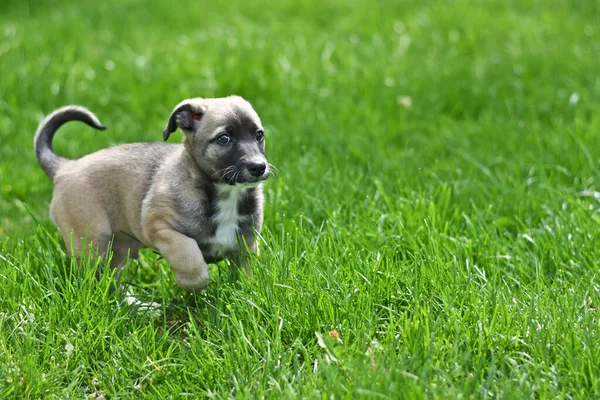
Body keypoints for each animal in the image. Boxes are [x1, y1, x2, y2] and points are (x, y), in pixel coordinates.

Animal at [32, 97, 268, 290]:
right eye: (224, 138)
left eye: (259, 135)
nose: (259, 167)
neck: (224, 193)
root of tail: (64, 167)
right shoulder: (161, 227)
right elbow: (190, 258)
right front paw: (193, 284)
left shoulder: (247, 246)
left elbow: (246, 276)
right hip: (92, 242)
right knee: (93, 279)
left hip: (119, 248)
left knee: (112, 282)